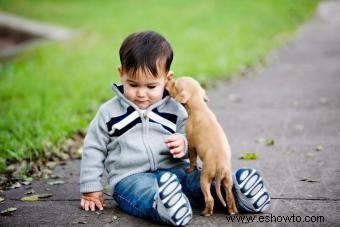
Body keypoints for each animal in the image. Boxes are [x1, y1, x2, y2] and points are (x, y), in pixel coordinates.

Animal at [166, 76, 238, 216]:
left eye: (174, 84)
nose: (168, 80)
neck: (200, 108)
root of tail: (220, 167)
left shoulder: (191, 146)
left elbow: (192, 159)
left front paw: (190, 169)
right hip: (227, 180)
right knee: (229, 196)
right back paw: (233, 211)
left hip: (205, 179)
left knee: (209, 198)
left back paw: (206, 212)